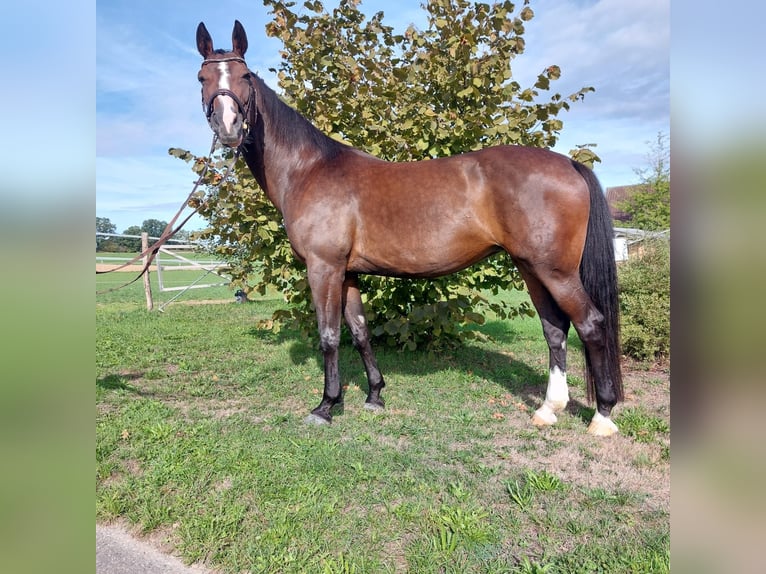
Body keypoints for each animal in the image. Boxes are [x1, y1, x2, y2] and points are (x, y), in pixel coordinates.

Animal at [195, 20, 623, 436]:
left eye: (245, 76)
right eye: (202, 77)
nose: (229, 126)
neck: (310, 169)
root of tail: (569, 164)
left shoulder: (323, 268)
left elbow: (329, 336)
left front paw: (326, 406)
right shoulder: (347, 273)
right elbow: (361, 331)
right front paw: (375, 395)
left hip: (556, 272)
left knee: (591, 324)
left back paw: (602, 415)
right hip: (531, 268)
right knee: (555, 330)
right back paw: (548, 409)